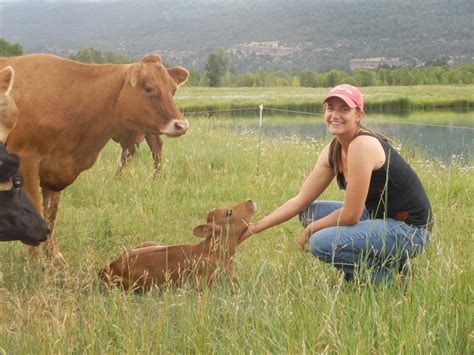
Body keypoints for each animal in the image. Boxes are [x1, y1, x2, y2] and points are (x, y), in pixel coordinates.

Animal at [1, 52, 191, 260]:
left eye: (173, 89)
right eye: (148, 87)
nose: (182, 125)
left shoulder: (54, 173)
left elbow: (50, 215)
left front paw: (54, 258)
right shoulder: (27, 162)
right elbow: (34, 209)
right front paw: (34, 261)